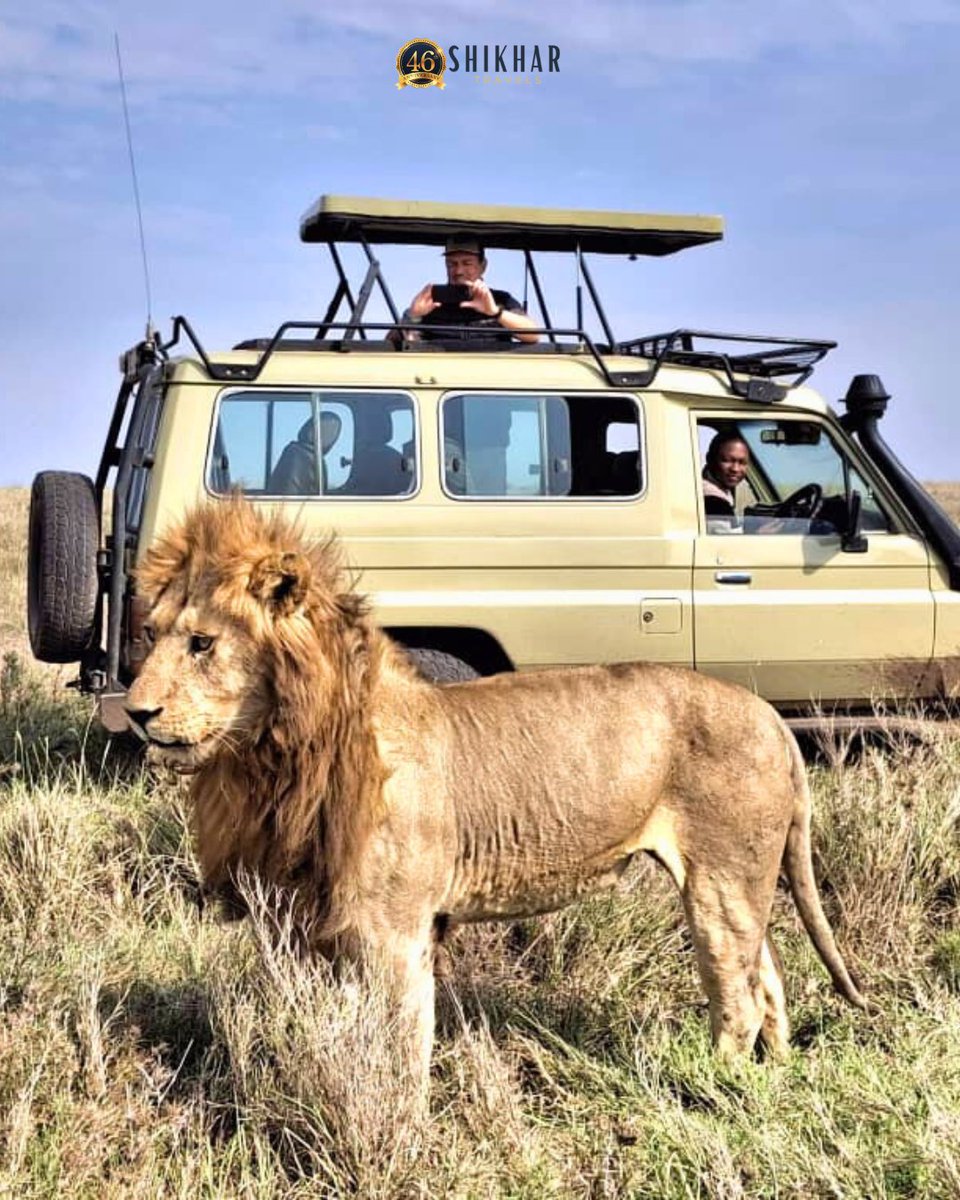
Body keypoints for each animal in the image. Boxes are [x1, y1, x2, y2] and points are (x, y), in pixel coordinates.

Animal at [125, 498, 866, 1091]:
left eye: (202, 643)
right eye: (149, 634)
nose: (135, 713)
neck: (278, 758)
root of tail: (771, 717)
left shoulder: (396, 928)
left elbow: (401, 1044)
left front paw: (399, 1132)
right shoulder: (320, 922)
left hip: (720, 877)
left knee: (737, 997)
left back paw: (714, 1089)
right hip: (741, 877)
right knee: (767, 978)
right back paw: (776, 1081)